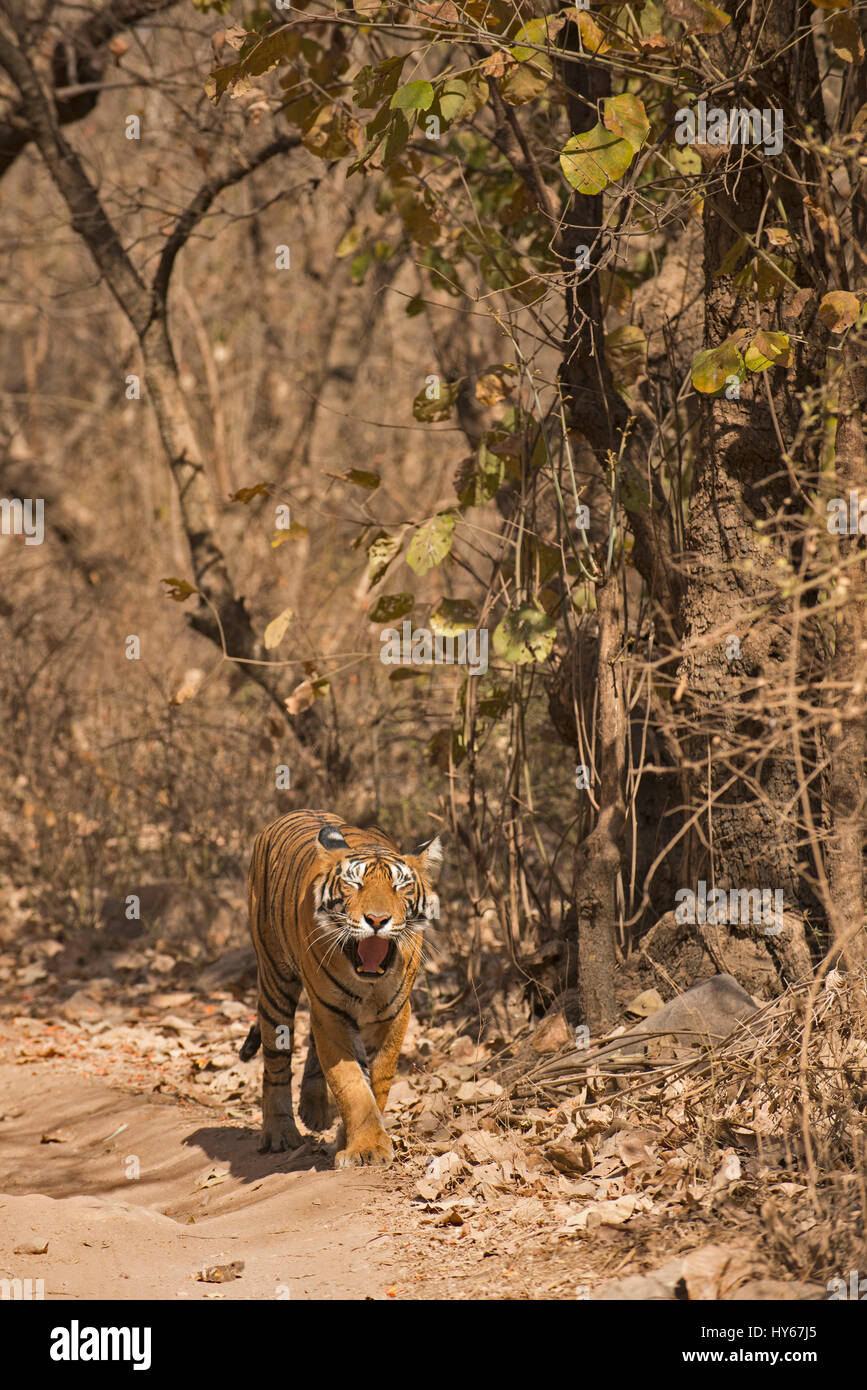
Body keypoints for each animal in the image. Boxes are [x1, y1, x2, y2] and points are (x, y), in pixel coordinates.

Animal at [238, 810, 442, 1168]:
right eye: (354, 884)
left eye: (400, 886)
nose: (377, 920)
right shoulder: (330, 1012)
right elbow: (352, 1085)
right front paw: (367, 1148)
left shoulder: (394, 1014)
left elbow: (378, 1081)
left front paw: (352, 1140)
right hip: (275, 976)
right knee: (276, 1061)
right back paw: (280, 1133)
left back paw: (315, 1111)